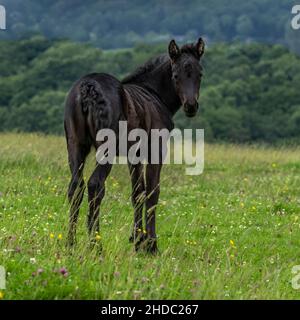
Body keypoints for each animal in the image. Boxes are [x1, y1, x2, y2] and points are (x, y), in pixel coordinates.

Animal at [64, 38, 205, 252]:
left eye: (200, 74)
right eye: (175, 75)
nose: (191, 106)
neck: (154, 95)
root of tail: (88, 87)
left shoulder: (134, 155)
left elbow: (138, 192)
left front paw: (137, 240)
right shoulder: (156, 150)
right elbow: (153, 191)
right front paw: (151, 244)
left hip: (76, 146)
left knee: (76, 186)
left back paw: (70, 243)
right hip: (106, 149)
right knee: (95, 185)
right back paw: (96, 244)